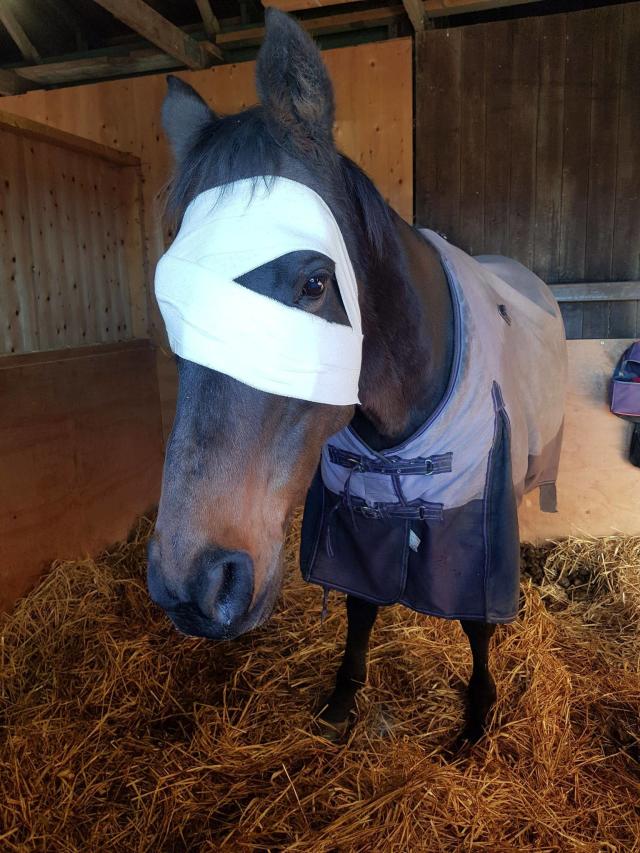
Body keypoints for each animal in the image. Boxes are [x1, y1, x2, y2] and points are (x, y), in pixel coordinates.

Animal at [149, 6, 564, 744]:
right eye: (171, 297)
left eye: (316, 283)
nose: (193, 583)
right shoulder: (351, 523)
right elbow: (362, 607)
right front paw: (344, 697)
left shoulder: (475, 527)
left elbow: (478, 623)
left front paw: (477, 715)